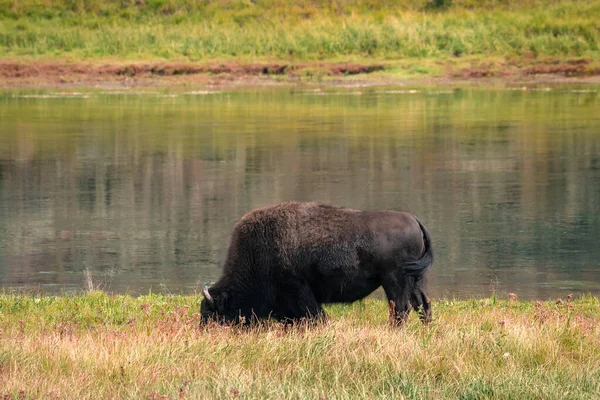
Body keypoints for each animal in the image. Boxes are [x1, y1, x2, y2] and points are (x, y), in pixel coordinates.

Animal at [200, 202, 432, 326]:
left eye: (211, 314)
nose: (204, 331)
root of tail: (413, 219)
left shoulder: (298, 291)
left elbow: (314, 315)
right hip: (414, 280)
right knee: (422, 304)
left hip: (394, 281)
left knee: (401, 309)